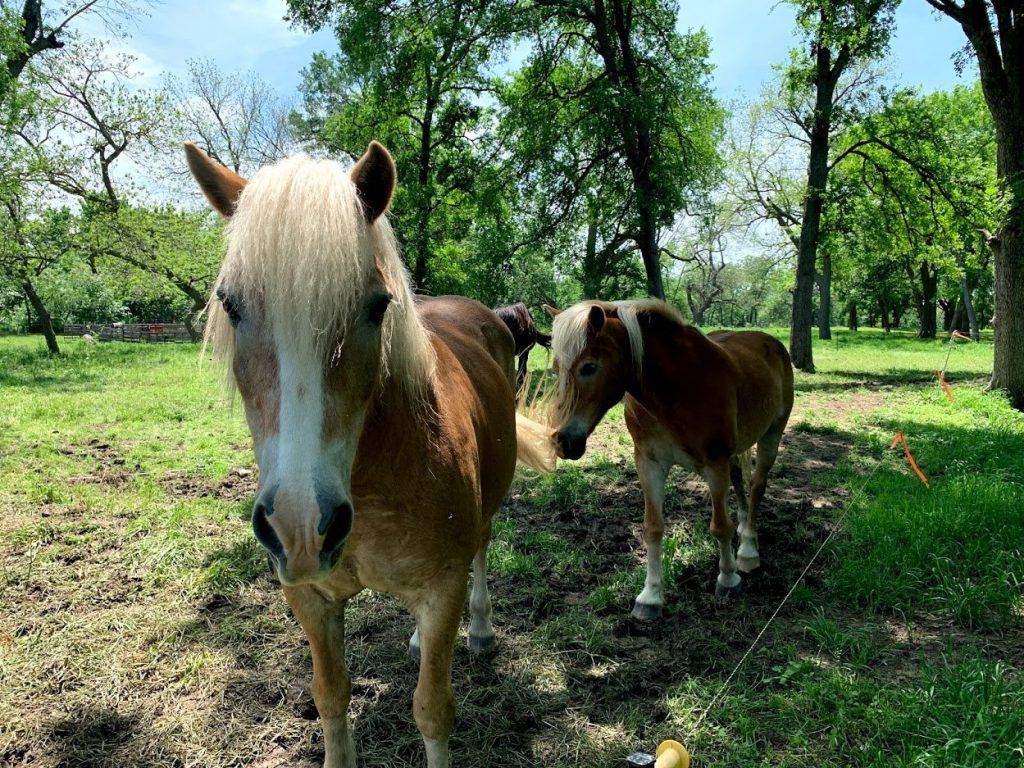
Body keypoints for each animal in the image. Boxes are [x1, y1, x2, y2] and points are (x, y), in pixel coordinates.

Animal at [184, 140, 552, 768]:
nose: (301, 526)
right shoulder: (308, 596)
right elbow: (330, 697)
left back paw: (479, 631)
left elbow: (432, 711)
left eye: (377, 306)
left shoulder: (444, 587)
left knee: (482, 549)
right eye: (229, 305)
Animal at [544, 301, 790, 618]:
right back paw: (744, 530)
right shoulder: (649, 464)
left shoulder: (715, 464)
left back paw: (748, 549)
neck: (675, 389)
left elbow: (719, 526)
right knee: (740, 483)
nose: (563, 441)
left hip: (773, 433)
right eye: (555, 370)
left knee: (757, 485)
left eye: (589, 366)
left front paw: (728, 579)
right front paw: (650, 597)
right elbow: (653, 528)